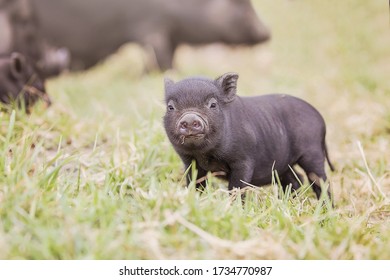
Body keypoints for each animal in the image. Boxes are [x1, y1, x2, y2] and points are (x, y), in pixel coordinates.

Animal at [163, 72, 334, 203]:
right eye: (170, 107)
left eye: (213, 104)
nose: (190, 118)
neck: (206, 155)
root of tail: (320, 118)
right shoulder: (190, 162)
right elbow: (195, 184)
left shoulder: (243, 160)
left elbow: (236, 187)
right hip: (283, 163)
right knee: (296, 179)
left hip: (312, 152)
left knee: (320, 181)